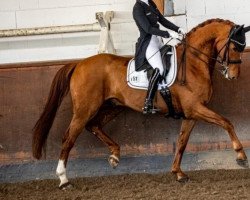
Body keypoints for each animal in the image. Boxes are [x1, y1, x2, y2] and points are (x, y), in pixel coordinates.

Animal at [32, 19, 250, 189]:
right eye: (234, 47)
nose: (233, 76)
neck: (193, 64)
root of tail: (79, 63)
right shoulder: (195, 108)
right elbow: (226, 122)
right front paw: (241, 156)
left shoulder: (191, 114)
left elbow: (182, 142)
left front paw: (178, 173)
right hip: (85, 109)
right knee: (68, 138)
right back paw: (64, 180)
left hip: (112, 106)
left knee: (93, 126)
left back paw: (115, 156)